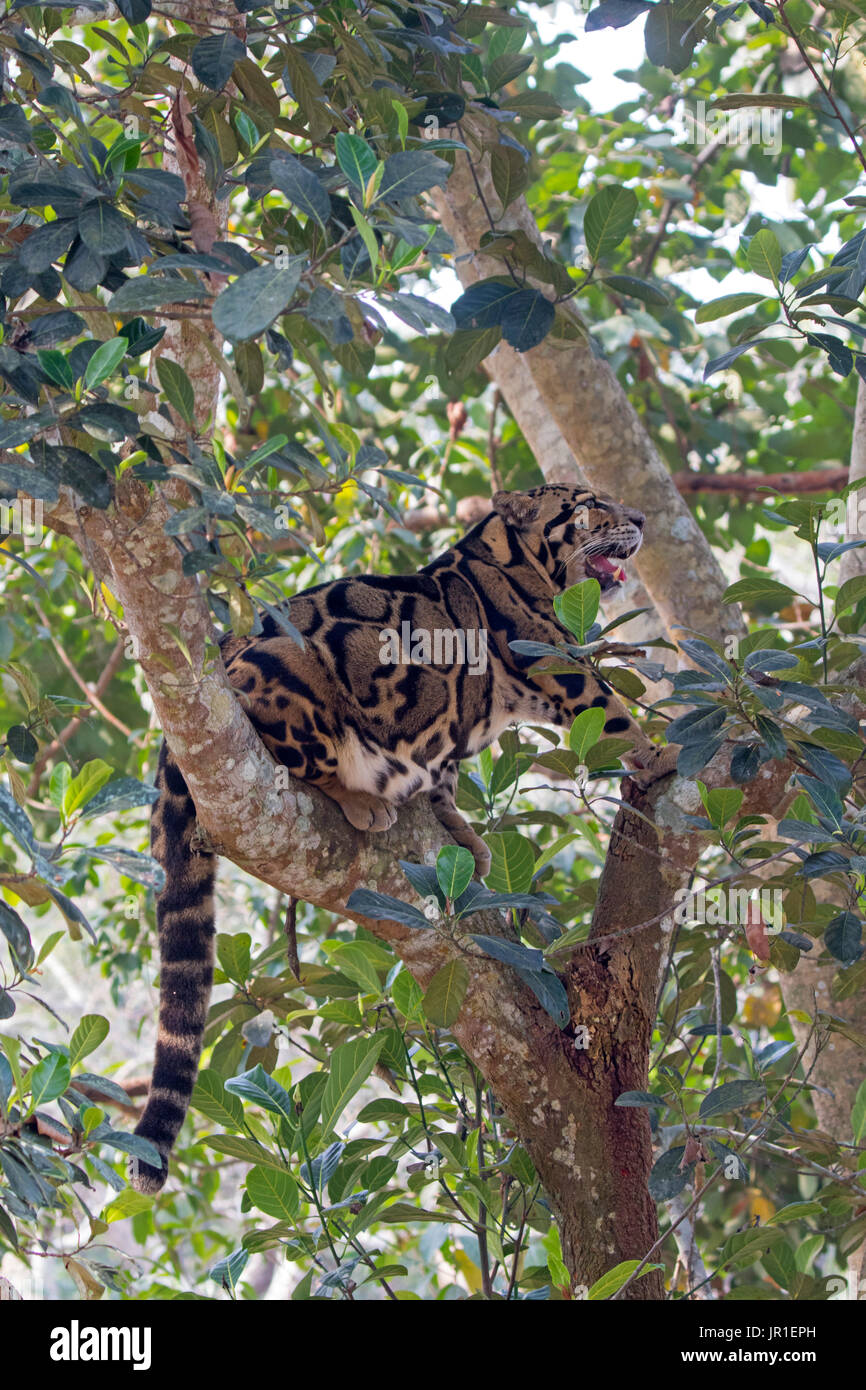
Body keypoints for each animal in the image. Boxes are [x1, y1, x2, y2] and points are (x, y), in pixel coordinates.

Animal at [134, 483, 664, 1189]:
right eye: (589, 503)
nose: (639, 519)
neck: (519, 564)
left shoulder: (468, 723)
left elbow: (446, 777)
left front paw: (459, 831)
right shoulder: (560, 666)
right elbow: (617, 717)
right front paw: (665, 754)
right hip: (288, 672)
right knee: (293, 756)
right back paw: (359, 798)